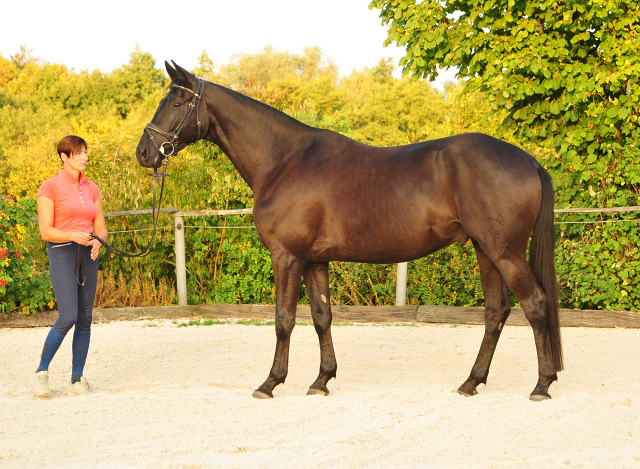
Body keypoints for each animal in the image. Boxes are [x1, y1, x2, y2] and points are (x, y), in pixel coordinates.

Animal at [135, 60, 560, 400]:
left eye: (176, 103)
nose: (144, 152)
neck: (284, 160)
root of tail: (527, 161)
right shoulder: (314, 261)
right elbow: (322, 317)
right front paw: (322, 381)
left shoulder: (287, 256)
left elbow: (284, 320)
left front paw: (270, 383)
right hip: (486, 250)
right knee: (496, 312)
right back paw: (472, 382)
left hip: (504, 252)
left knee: (536, 304)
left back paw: (541, 385)